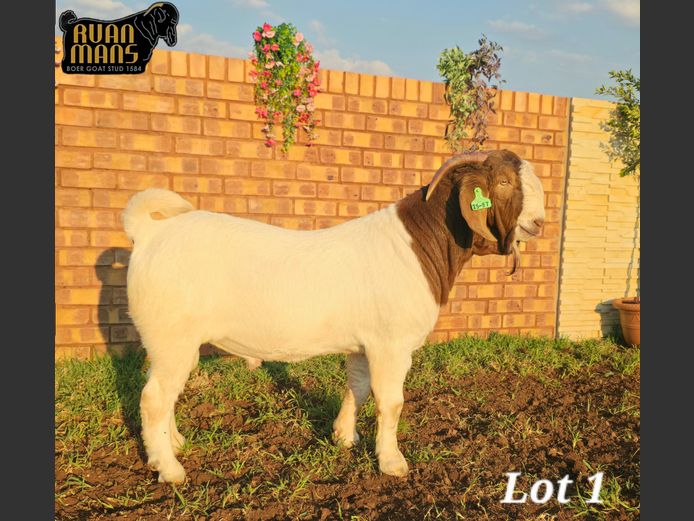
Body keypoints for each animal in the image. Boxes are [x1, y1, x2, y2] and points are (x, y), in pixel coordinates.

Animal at [123, 149, 545, 483]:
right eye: (504, 182)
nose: (539, 222)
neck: (417, 246)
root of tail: (148, 234)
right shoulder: (391, 345)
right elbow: (391, 401)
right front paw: (392, 462)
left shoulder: (364, 344)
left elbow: (357, 387)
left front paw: (344, 437)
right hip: (173, 337)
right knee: (154, 397)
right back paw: (169, 469)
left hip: (167, 340)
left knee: (160, 389)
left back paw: (174, 443)